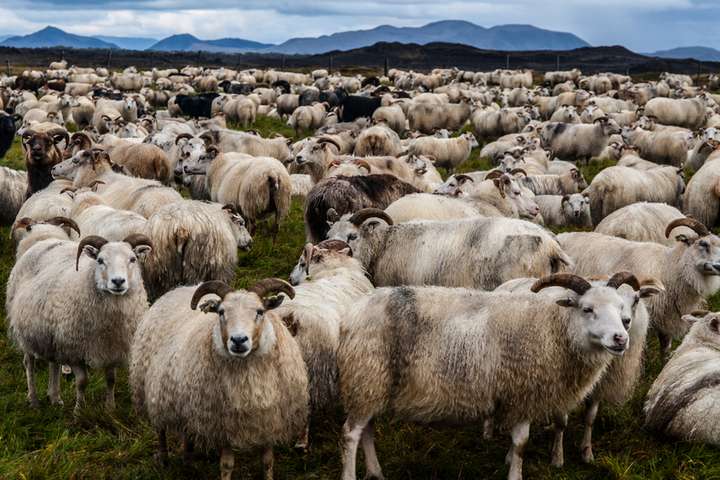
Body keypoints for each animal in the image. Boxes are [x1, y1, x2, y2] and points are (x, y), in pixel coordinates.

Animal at [129, 278, 306, 480]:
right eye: (221, 312)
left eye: (260, 311)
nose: (238, 340)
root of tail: (178, 290)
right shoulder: (222, 425)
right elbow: (227, 465)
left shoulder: (269, 421)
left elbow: (268, 462)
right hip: (152, 391)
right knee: (160, 430)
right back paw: (165, 459)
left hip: (185, 403)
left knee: (186, 432)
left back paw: (188, 461)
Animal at [338, 274, 636, 480]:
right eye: (587, 309)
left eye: (621, 308)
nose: (621, 338)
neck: (552, 328)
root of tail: (353, 312)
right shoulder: (523, 391)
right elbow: (521, 443)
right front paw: (515, 474)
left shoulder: (516, 396)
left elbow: (516, 443)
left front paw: (508, 460)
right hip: (367, 375)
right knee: (351, 434)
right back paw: (351, 475)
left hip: (371, 384)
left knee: (367, 429)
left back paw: (376, 472)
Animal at [560, 217, 720, 356]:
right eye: (703, 243)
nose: (719, 266)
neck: (668, 267)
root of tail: (563, 235)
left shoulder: (666, 317)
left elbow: (665, 347)